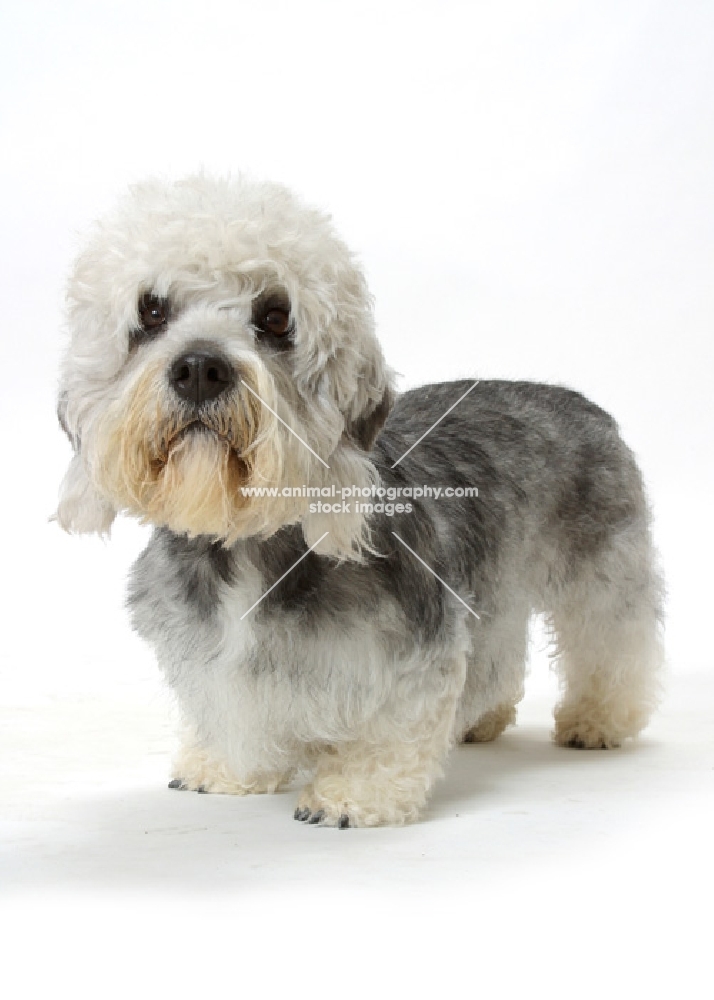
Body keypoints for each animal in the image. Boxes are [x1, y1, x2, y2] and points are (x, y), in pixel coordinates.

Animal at [55, 174, 660, 828]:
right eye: (151, 310)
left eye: (276, 316)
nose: (198, 368)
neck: (248, 543)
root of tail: (582, 402)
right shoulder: (210, 657)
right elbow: (227, 711)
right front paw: (222, 768)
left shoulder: (409, 648)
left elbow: (388, 729)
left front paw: (352, 793)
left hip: (603, 576)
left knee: (614, 644)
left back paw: (597, 721)